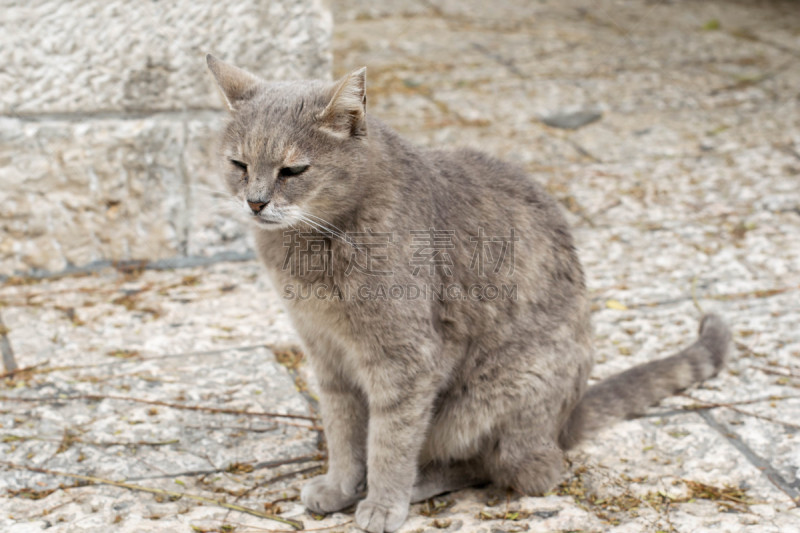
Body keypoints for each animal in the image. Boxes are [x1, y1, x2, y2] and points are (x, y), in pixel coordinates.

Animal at [206, 55, 732, 532]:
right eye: (239, 164)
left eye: (293, 171)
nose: (256, 202)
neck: (313, 248)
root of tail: (567, 420)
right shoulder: (326, 353)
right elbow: (342, 430)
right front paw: (339, 486)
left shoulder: (406, 360)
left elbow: (389, 441)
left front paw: (382, 503)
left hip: (503, 394)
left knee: (514, 468)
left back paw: (424, 482)